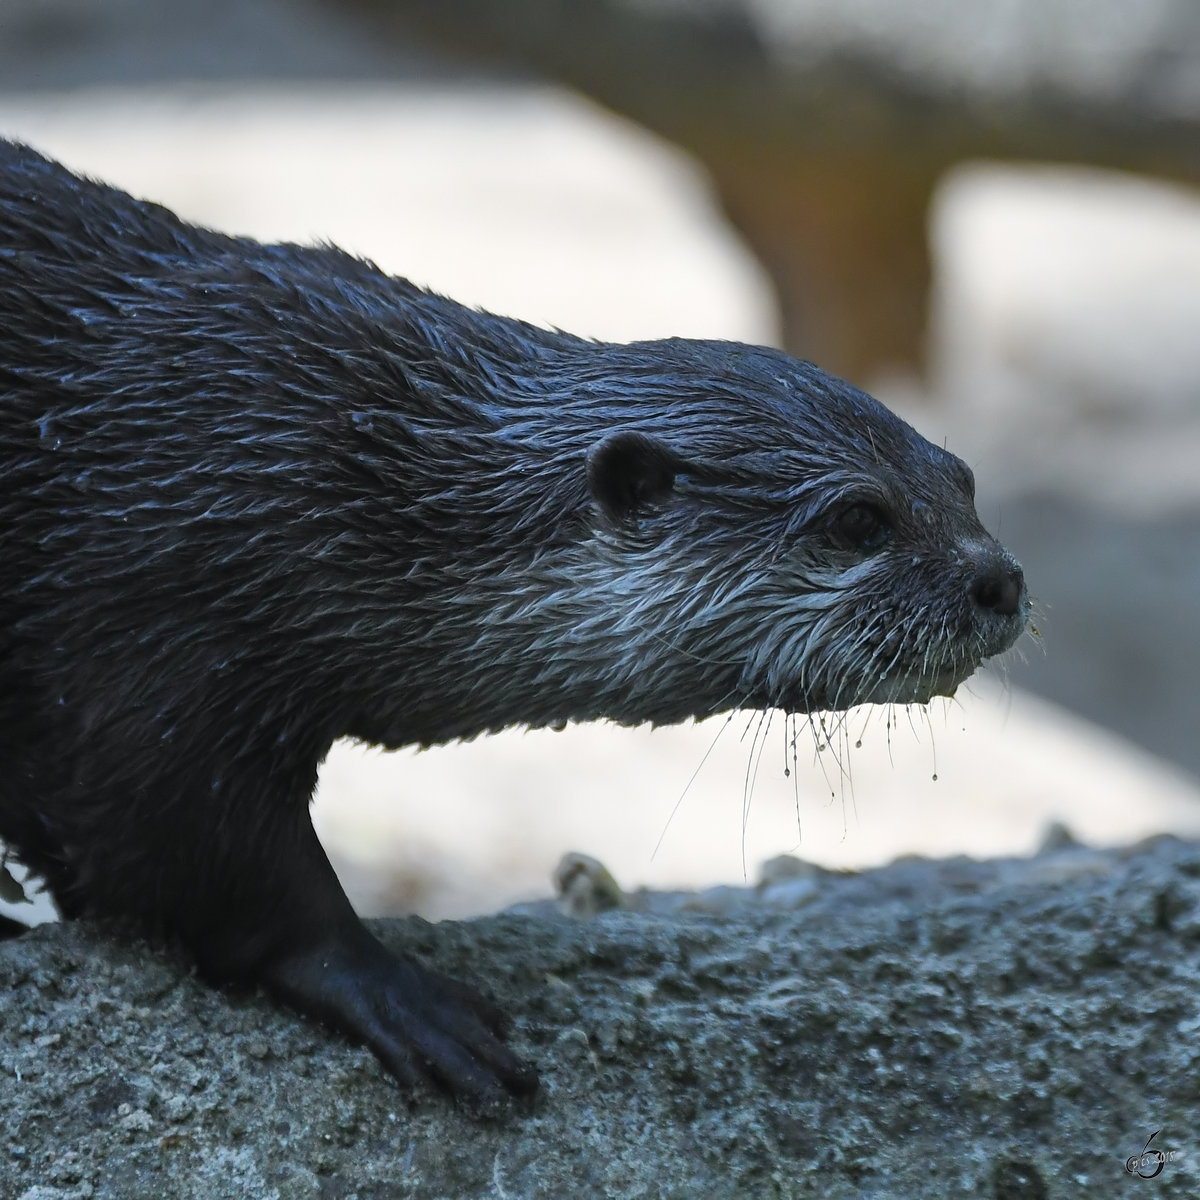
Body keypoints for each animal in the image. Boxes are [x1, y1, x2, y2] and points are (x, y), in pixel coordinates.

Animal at [0, 140, 1027, 1104]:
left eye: (963, 479)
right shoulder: (157, 611)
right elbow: (176, 833)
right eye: (858, 519)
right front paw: (395, 992)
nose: (1001, 579)